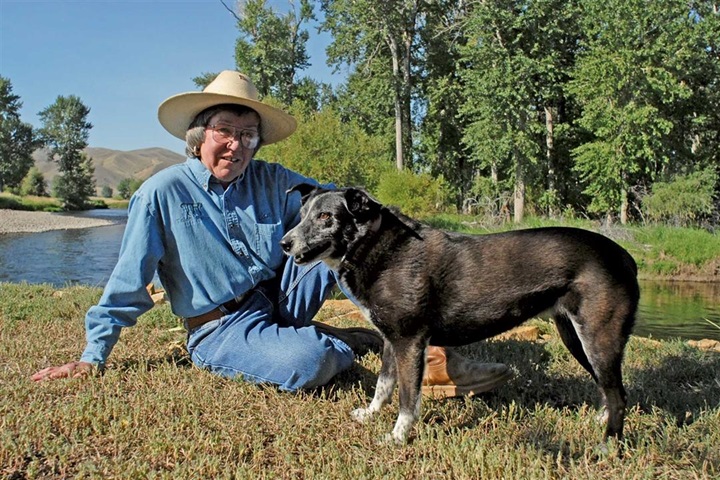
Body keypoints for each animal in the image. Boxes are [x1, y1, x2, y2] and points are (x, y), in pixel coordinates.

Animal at [278, 184, 640, 442]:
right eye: (302, 213)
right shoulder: (391, 341)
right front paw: (370, 415)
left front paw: (397, 437)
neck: (378, 247)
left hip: (598, 338)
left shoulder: (410, 342)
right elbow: (383, 385)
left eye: (325, 217)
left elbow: (408, 398)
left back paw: (608, 444)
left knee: (619, 395)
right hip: (576, 338)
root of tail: (626, 257)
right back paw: (600, 423)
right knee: (609, 390)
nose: (284, 243)